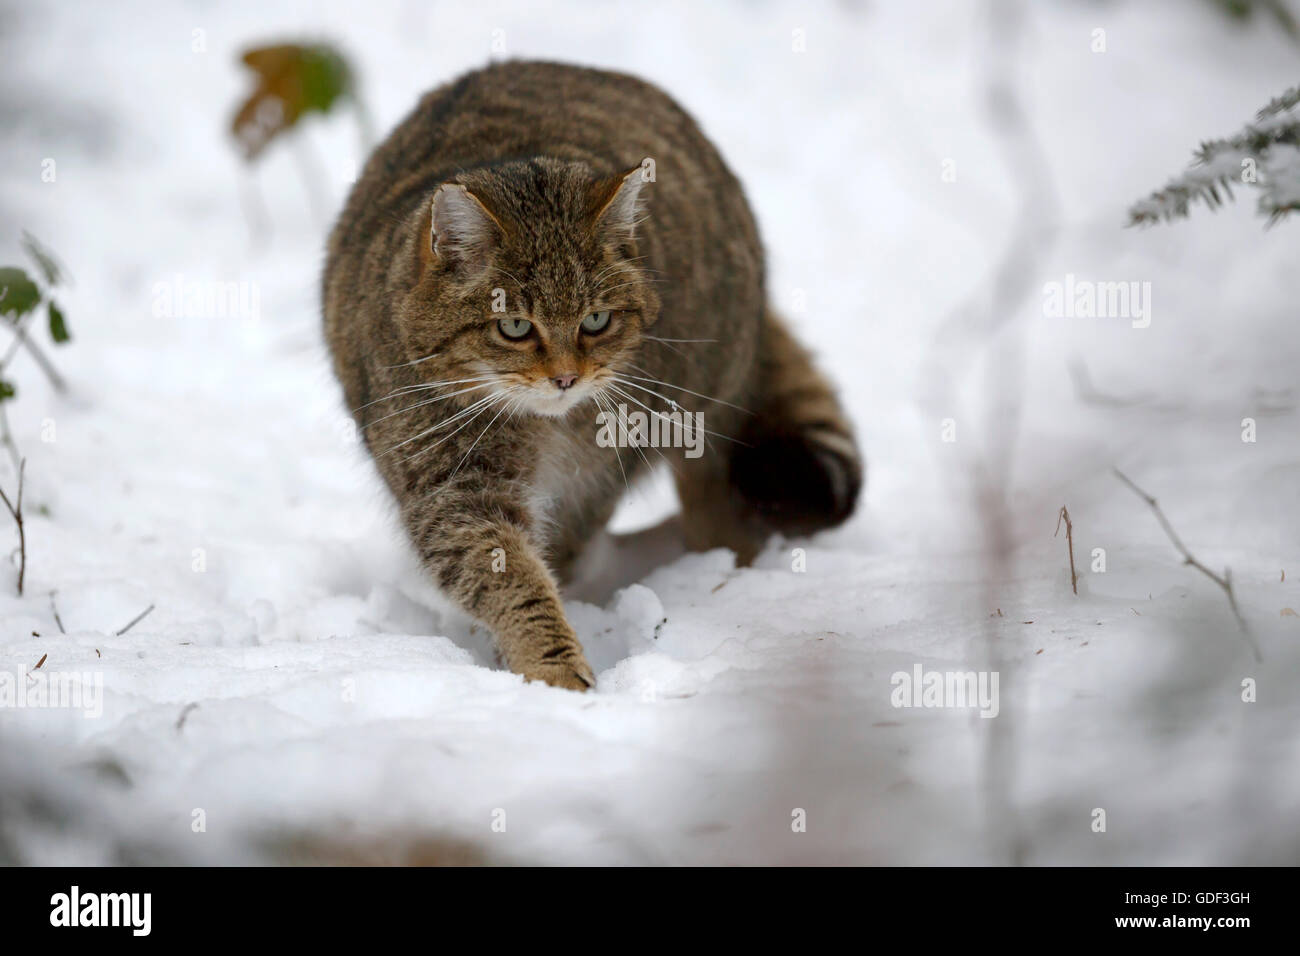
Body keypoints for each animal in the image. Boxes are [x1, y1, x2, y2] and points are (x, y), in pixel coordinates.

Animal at [322, 59, 863, 691]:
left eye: (596, 320)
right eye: (514, 326)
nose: (565, 379)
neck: (542, 431)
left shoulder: (601, 469)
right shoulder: (452, 485)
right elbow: (507, 573)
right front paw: (550, 666)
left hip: (700, 401)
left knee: (711, 498)